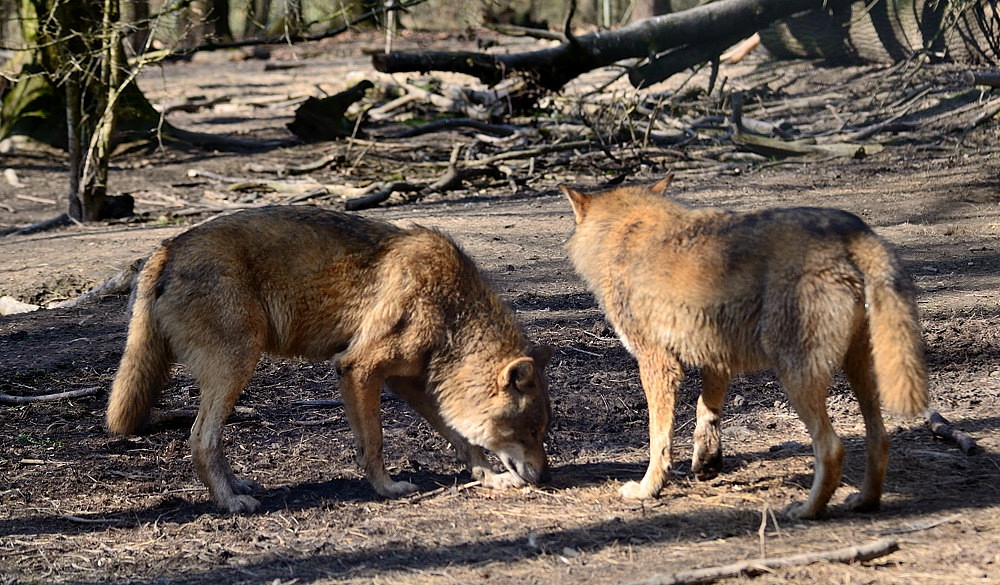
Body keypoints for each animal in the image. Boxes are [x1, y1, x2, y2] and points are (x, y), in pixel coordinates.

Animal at [107, 206, 552, 513]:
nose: (544, 476)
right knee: (201, 438)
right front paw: (387, 489)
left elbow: (462, 438)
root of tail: (166, 249)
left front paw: (488, 477)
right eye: (530, 432)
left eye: (542, 432)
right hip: (239, 364)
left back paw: (239, 487)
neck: (453, 310)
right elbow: (374, 441)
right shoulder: (358, 368)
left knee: (208, 438)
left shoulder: (409, 383)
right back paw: (230, 503)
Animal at [561, 176, 928, 519]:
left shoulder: (658, 364)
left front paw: (648, 489)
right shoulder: (715, 356)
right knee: (879, 438)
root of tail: (853, 232)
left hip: (796, 378)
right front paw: (707, 461)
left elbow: (658, 438)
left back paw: (806, 511)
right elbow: (706, 409)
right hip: (865, 372)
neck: (623, 231)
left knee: (832, 448)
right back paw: (864, 501)